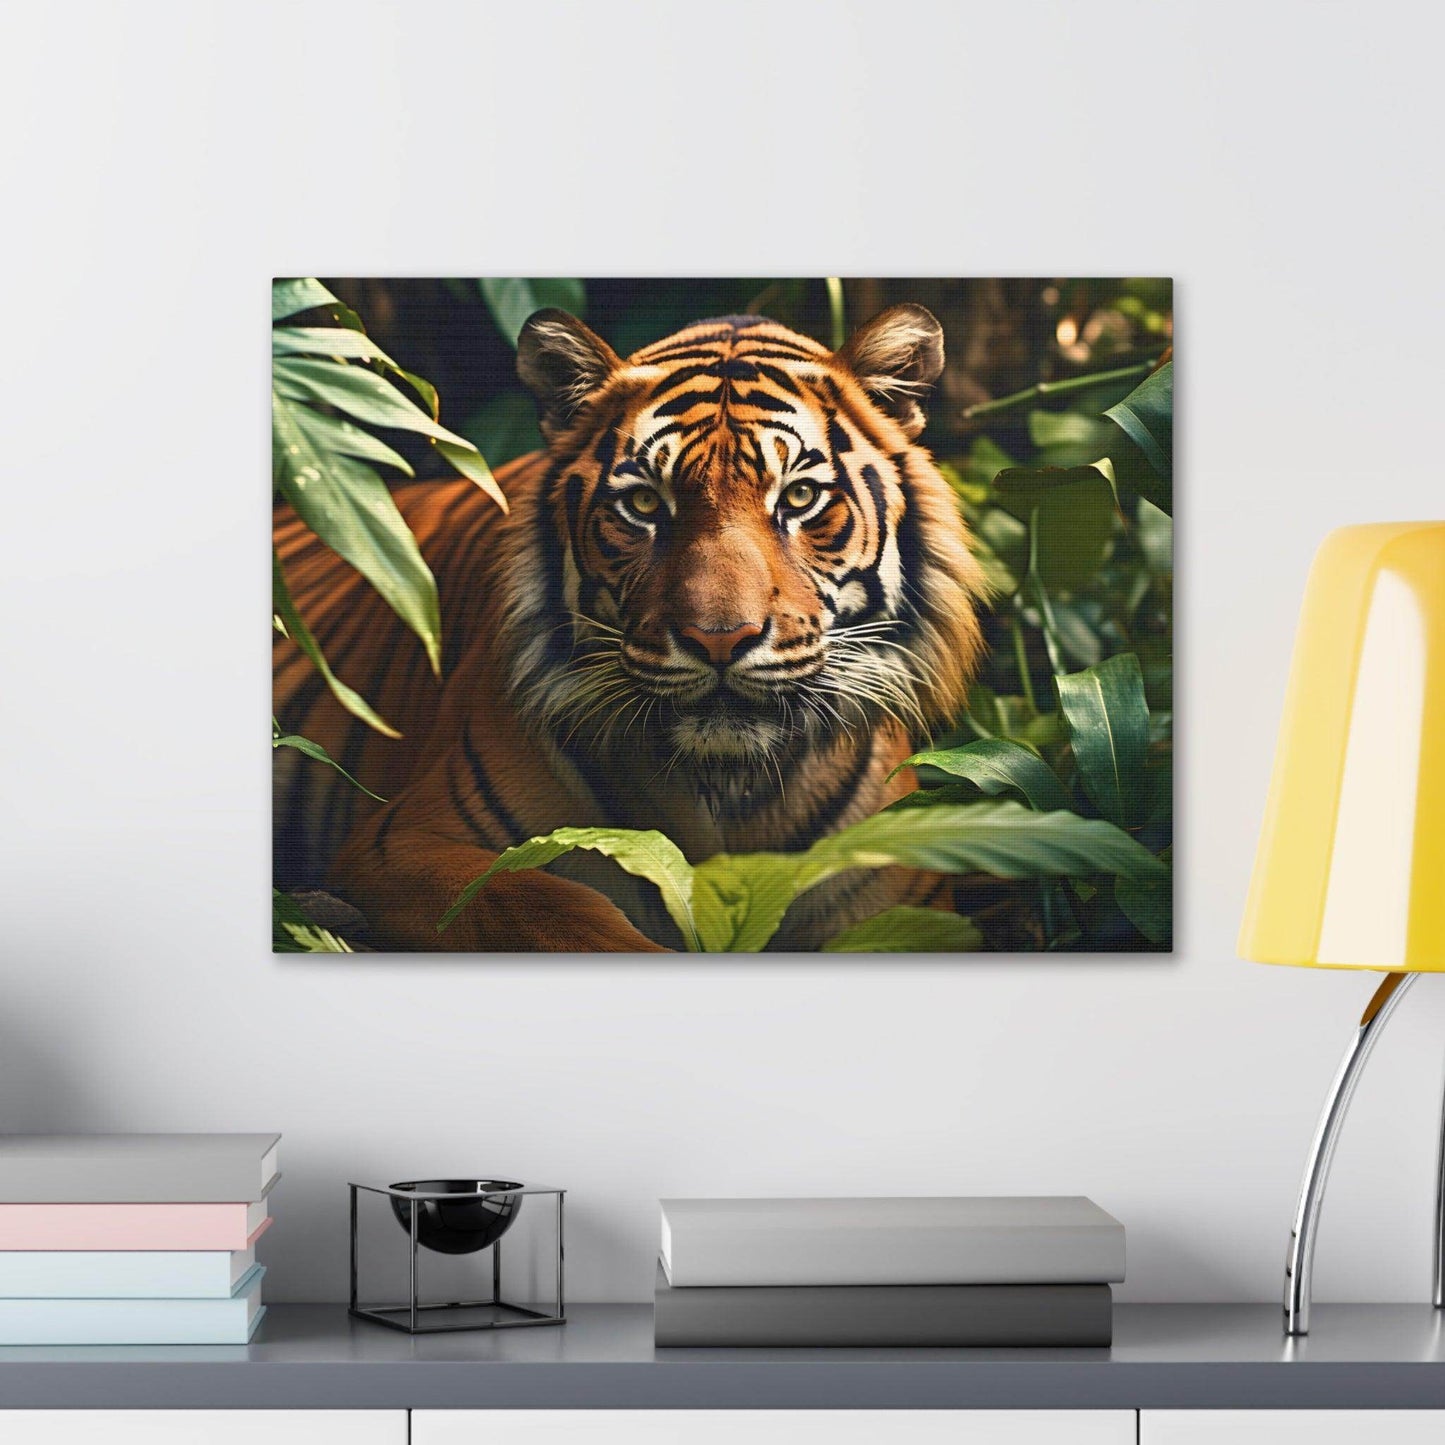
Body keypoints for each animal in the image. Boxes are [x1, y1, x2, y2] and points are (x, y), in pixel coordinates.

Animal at [273, 303, 990, 951]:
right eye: (644, 503)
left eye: (799, 498)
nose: (720, 639)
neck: (725, 788)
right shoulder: (401, 843)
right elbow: (547, 905)